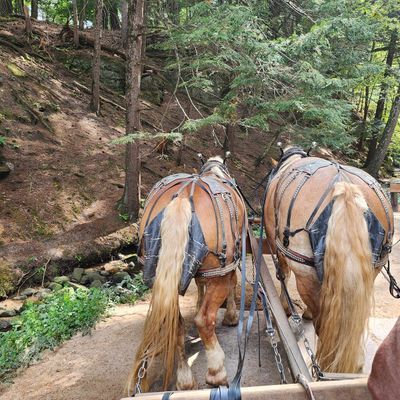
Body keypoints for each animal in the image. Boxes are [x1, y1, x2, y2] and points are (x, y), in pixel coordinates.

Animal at [128, 156, 246, 393]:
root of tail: (183, 197)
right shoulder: (227, 265)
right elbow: (232, 283)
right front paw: (231, 316)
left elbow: (200, 285)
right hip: (217, 273)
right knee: (204, 320)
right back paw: (216, 372)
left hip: (162, 274)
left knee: (175, 325)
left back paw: (184, 379)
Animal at [263, 147, 393, 373]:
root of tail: (345, 188)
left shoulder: (276, 243)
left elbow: (283, 275)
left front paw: (287, 308)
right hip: (370, 273)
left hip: (307, 277)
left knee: (322, 323)